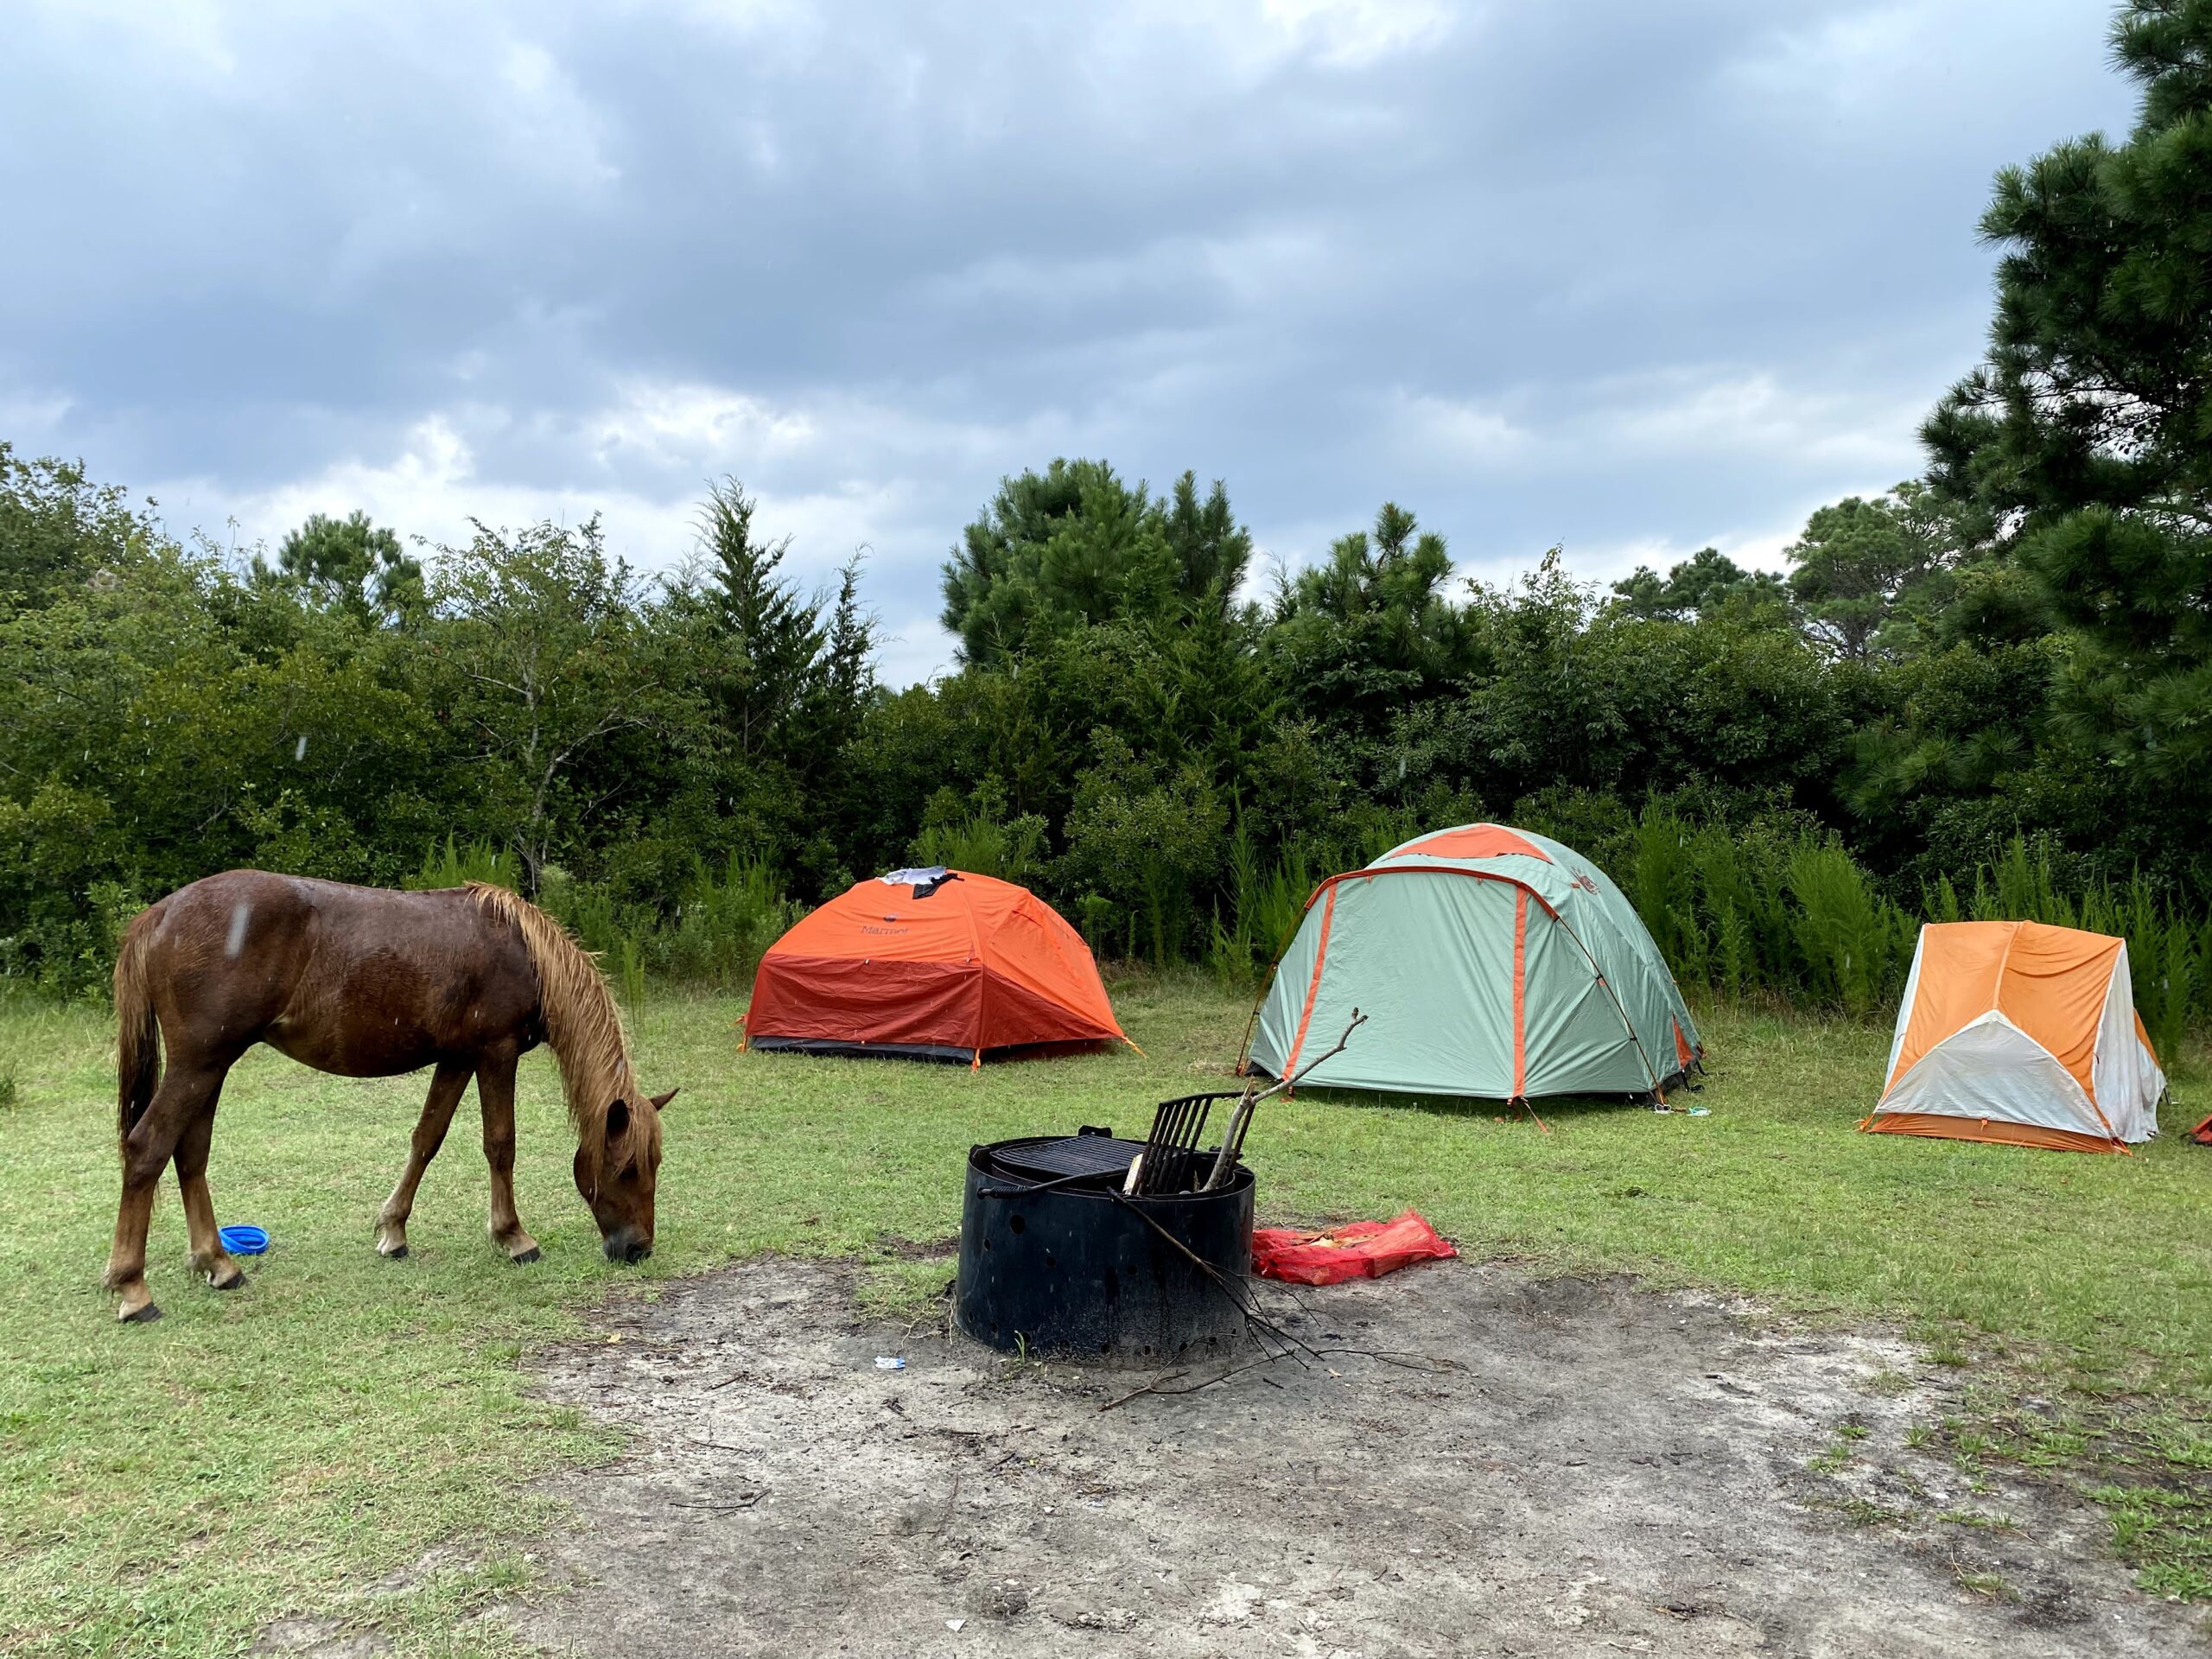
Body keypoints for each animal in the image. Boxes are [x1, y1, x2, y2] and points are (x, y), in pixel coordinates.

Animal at [105, 871, 672, 1327]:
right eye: (627, 1168)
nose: (638, 1249)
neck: (521, 951)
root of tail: (158, 915)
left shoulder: (458, 1058)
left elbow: (427, 1138)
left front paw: (393, 1232)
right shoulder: (496, 1052)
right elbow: (500, 1144)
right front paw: (514, 1238)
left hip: (210, 1066)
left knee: (190, 1155)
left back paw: (218, 1265)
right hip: (198, 1064)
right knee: (148, 1148)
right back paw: (134, 1288)